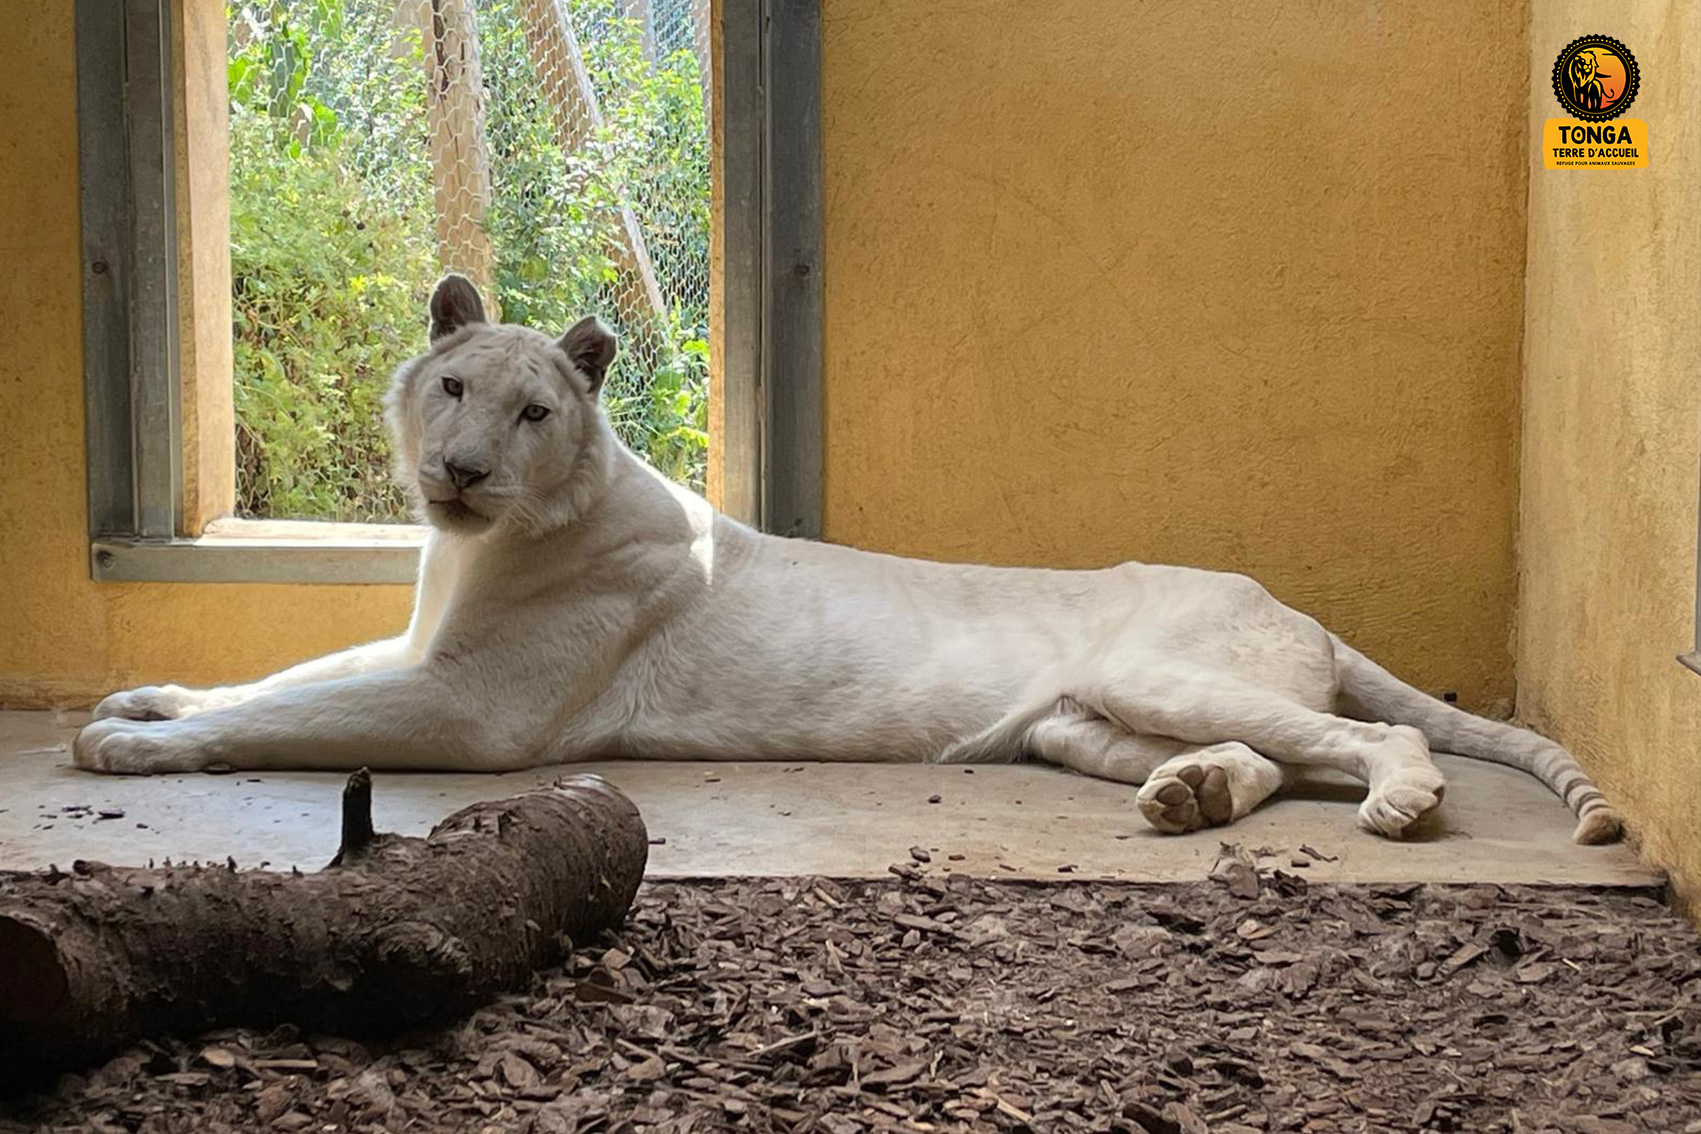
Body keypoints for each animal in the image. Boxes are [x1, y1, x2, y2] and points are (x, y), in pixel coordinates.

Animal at [74, 276, 1623, 845]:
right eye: (455, 388)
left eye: (533, 412)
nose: (459, 469)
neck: (475, 550)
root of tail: (1288, 603)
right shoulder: (418, 654)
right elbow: (281, 679)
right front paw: (147, 698)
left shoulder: (470, 709)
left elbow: (289, 719)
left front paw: (127, 748)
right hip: (1080, 724)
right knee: (1277, 758)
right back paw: (1186, 802)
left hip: (1164, 675)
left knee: (1361, 739)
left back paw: (1399, 804)